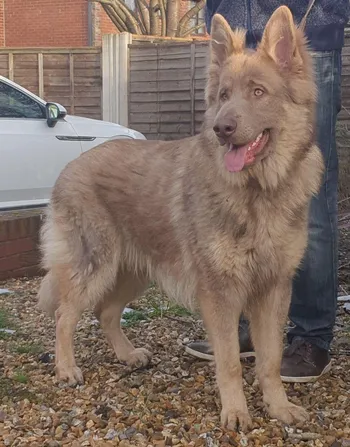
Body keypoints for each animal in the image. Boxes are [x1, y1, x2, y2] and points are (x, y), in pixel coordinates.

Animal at [37, 6, 322, 434]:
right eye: (223, 96)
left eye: (258, 92)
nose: (222, 129)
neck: (256, 192)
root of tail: (72, 164)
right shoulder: (220, 294)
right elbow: (230, 362)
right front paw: (235, 412)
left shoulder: (273, 291)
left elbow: (270, 361)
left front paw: (279, 408)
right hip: (96, 268)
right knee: (64, 316)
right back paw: (66, 369)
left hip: (133, 272)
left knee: (105, 312)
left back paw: (126, 354)